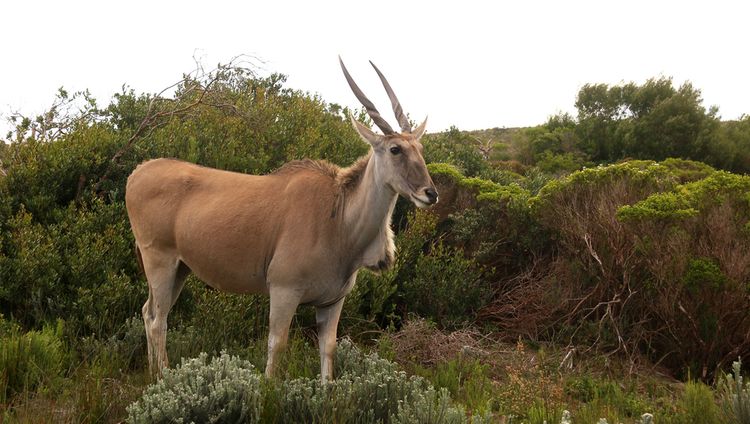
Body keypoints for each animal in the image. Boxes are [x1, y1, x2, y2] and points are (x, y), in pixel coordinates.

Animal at [125, 58, 438, 380]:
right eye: (395, 149)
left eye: (420, 149)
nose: (431, 193)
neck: (338, 218)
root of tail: (138, 172)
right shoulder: (283, 290)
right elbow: (277, 347)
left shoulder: (332, 302)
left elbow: (328, 352)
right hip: (159, 260)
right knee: (158, 320)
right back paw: (162, 376)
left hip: (181, 268)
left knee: (148, 312)